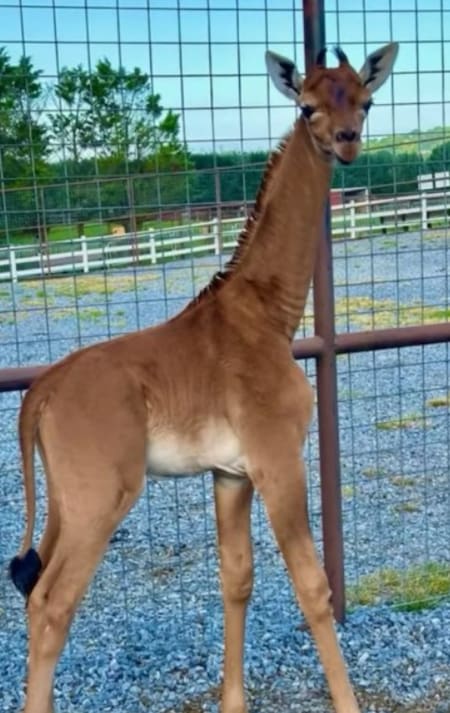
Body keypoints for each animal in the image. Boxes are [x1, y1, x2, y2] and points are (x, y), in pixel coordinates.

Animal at [10, 42, 398, 713]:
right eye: (307, 105)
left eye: (365, 100)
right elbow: (313, 585)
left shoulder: (230, 473)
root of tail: (39, 393)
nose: (347, 141)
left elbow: (236, 577)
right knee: (52, 605)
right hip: (100, 499)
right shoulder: (278, 459)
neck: (269, 315)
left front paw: (232, 700)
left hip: (64, 500)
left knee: (34, 595)